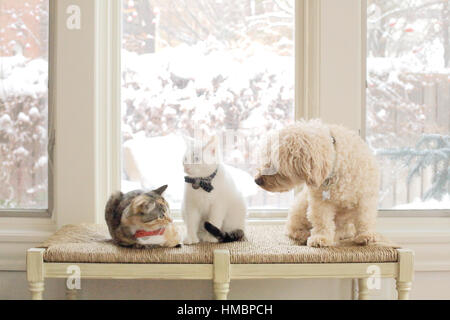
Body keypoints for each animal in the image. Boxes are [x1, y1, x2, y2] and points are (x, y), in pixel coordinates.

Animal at [255, 120, 378, 248]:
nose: (256, 180)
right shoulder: (320, 201)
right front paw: (321, 238)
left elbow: (364, 218)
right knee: (292, 228)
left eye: (273, 164)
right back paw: (304, 235)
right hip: (300, 206)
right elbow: (322, 220)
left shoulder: (365, 197)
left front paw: (365, 235)